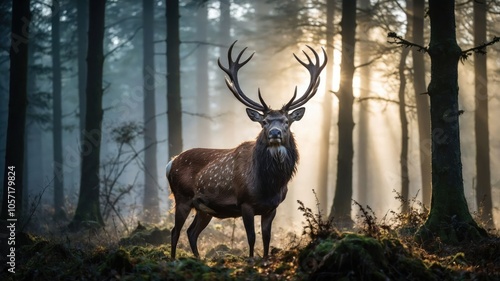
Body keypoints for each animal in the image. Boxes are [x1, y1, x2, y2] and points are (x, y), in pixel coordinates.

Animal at [166, 41, 326, 258]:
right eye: (264, 122)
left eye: (286, 121)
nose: (275, 133)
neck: (269, 184)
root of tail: (171, 162)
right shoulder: (245, 203)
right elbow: (251, 238)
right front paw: (251, 260)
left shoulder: (272, 208)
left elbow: (267, 238)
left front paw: (265, 260)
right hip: (182, 197)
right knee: (175, 232)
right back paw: (174, 260)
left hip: (203, 208)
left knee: (191, 232)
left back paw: (198, 260)